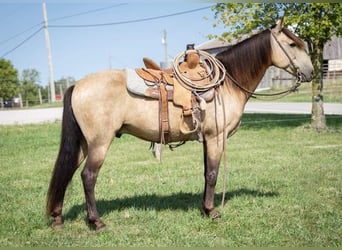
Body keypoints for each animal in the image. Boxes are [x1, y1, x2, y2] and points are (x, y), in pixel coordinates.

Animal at [46, 19, 314, 230]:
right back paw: (96, 221)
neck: (227, 83)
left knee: (66, 173)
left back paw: (58, 218)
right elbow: (213, 173)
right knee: (88, 176)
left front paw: (205, 208)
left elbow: (206, 173)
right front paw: (212, 211)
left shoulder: (207, 138)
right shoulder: (216, 137)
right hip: (100, 143)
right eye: (292, 45)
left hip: (83, 144)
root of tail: (77, 85)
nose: (311, 72)